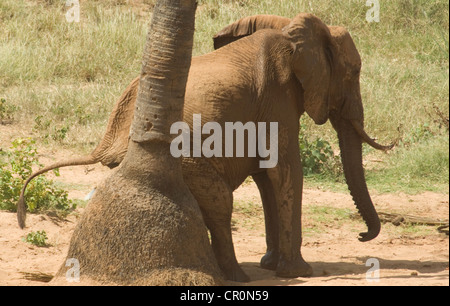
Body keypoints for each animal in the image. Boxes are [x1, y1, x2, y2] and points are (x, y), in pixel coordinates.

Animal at [16, 14, 390, 282]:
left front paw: (272, 266)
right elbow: (283, 171)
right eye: (353, 73)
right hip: (181, 158)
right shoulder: (279, 97)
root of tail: (109, 141)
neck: (288, 27)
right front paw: (298, 272)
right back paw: (237, 277)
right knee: (220, 200)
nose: (361, 236)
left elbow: (266, 176)